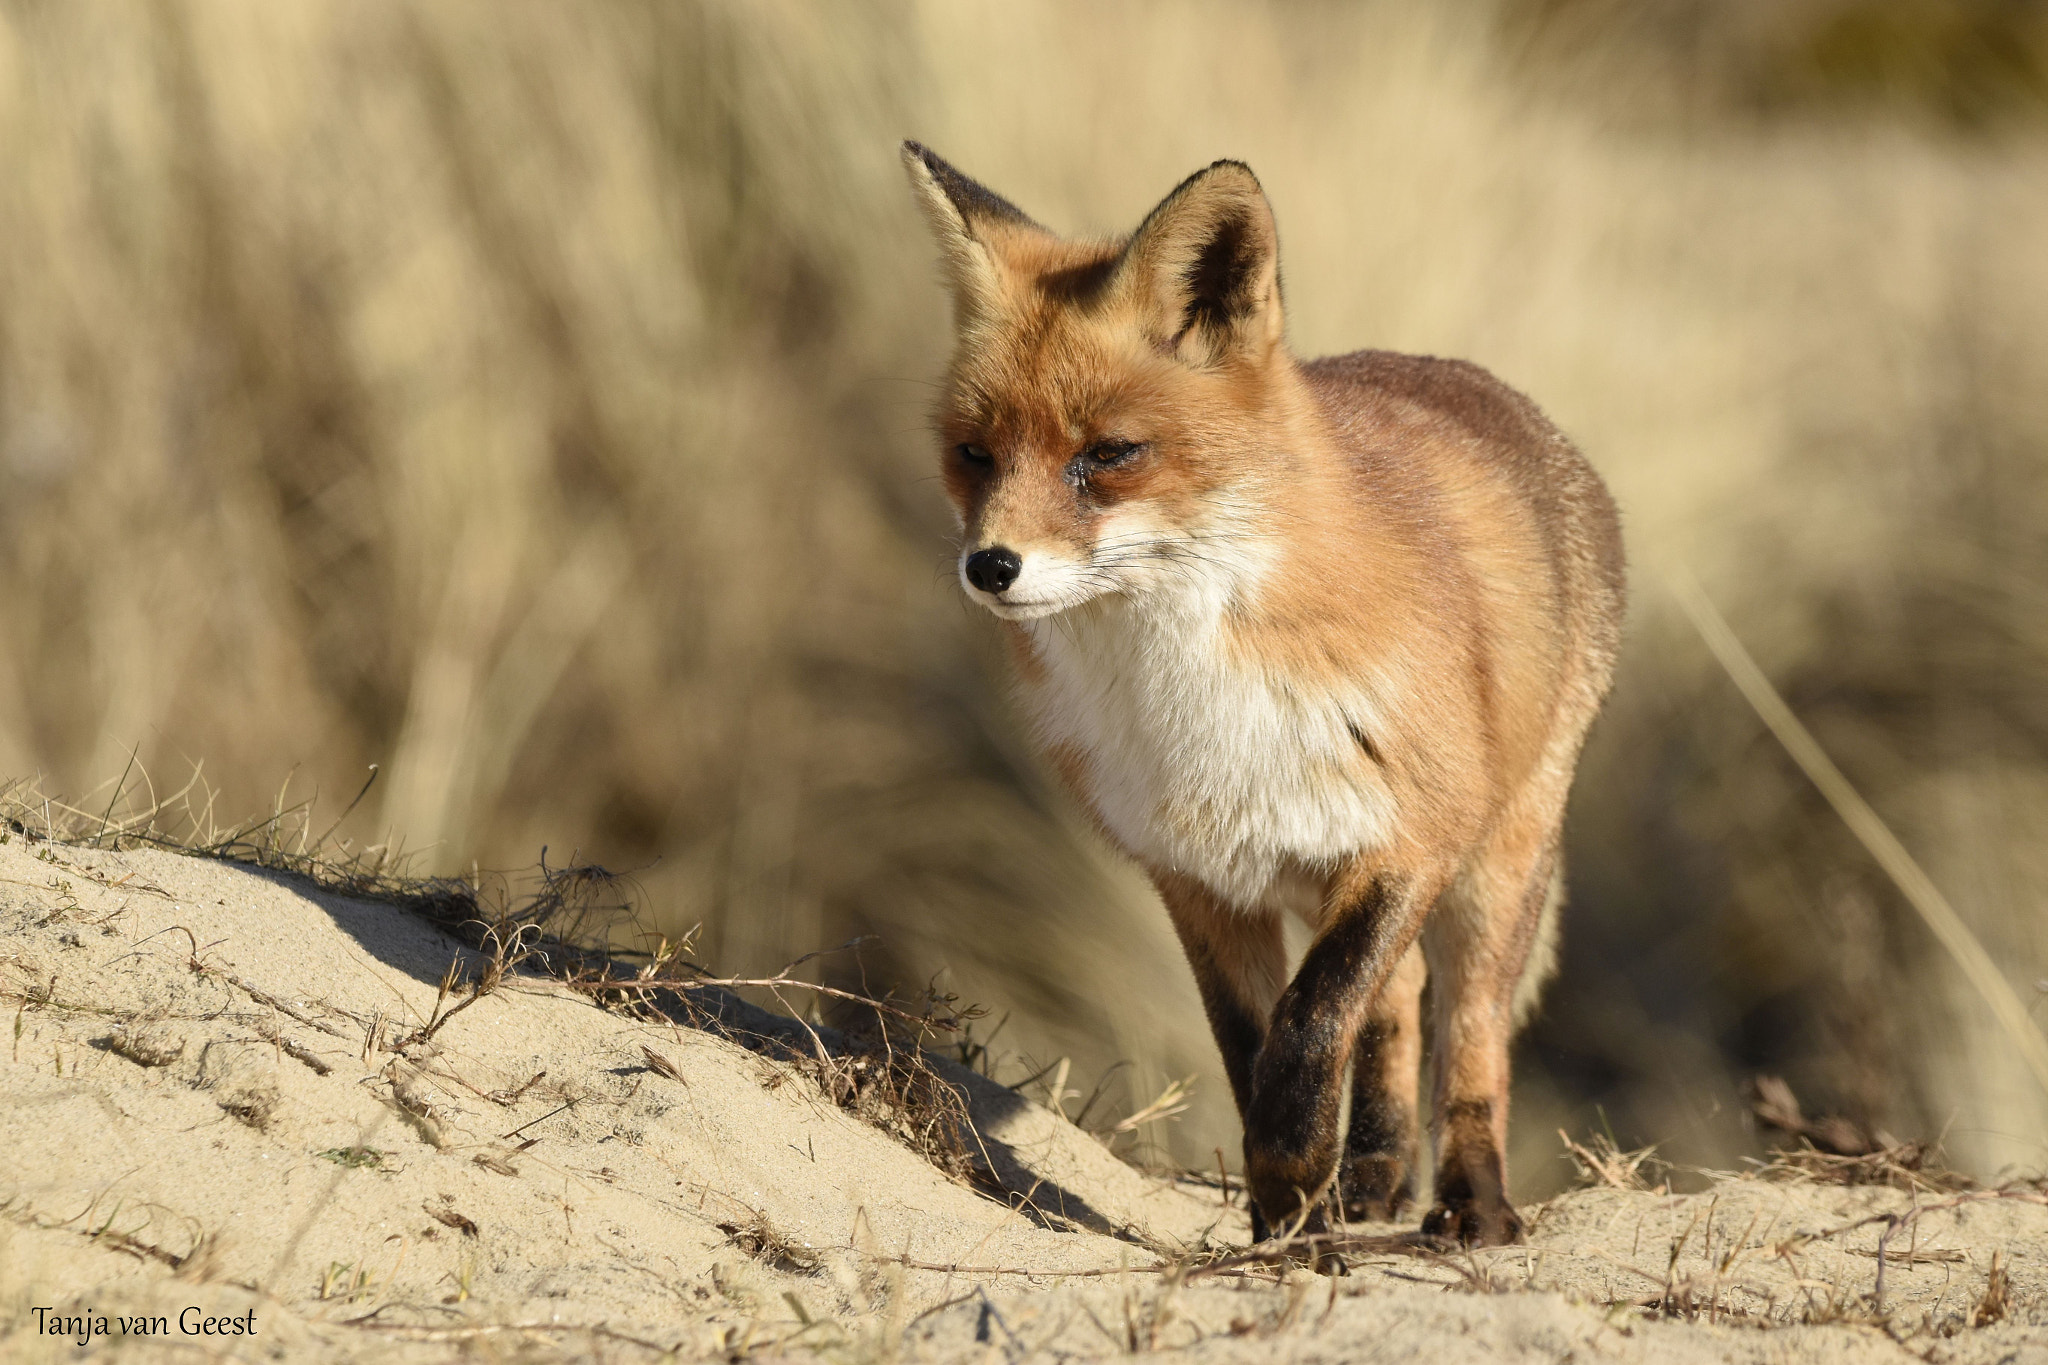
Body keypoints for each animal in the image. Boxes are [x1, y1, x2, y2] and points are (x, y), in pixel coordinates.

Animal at [905, 147, 1622, 1252]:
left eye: (1107, 453)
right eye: (974, 453)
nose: (990, 567)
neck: (1196, 707)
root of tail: (1475, 382)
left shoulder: (1407, 838)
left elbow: (1310, 1024)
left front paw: (1293, 1186)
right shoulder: (1197, 878)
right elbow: (1251, 1048)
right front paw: (1287, 1211)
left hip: (1496, 869)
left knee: (1467, 1038)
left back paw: (1471, 1200)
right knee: (1398, 1011)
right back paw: (1372, 1180)